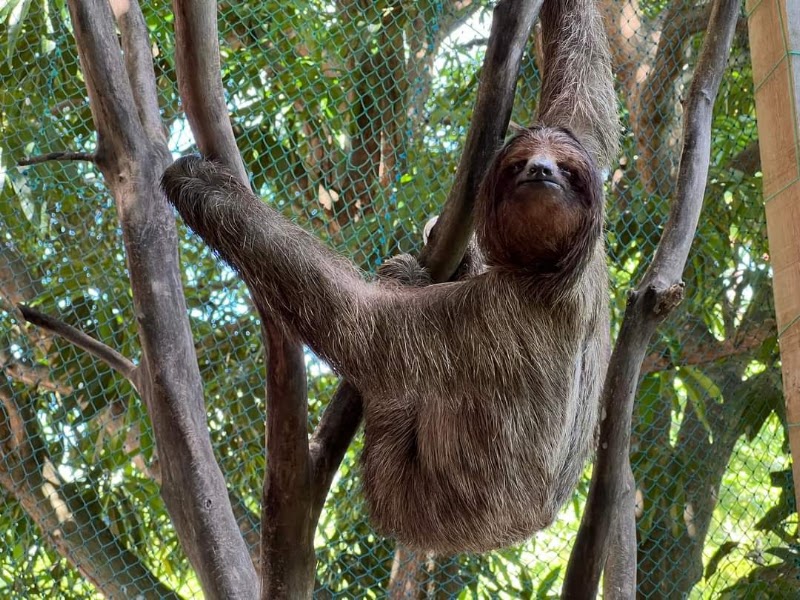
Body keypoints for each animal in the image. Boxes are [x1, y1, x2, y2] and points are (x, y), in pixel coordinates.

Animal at [160, 0, 618, 555]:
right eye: (519, 164)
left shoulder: (491, 315)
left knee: (390, 401)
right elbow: (585, 102)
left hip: (408, 497)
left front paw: (200, 184)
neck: (549, 272)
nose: (542, 172)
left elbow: (363, 323)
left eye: (567, 173)